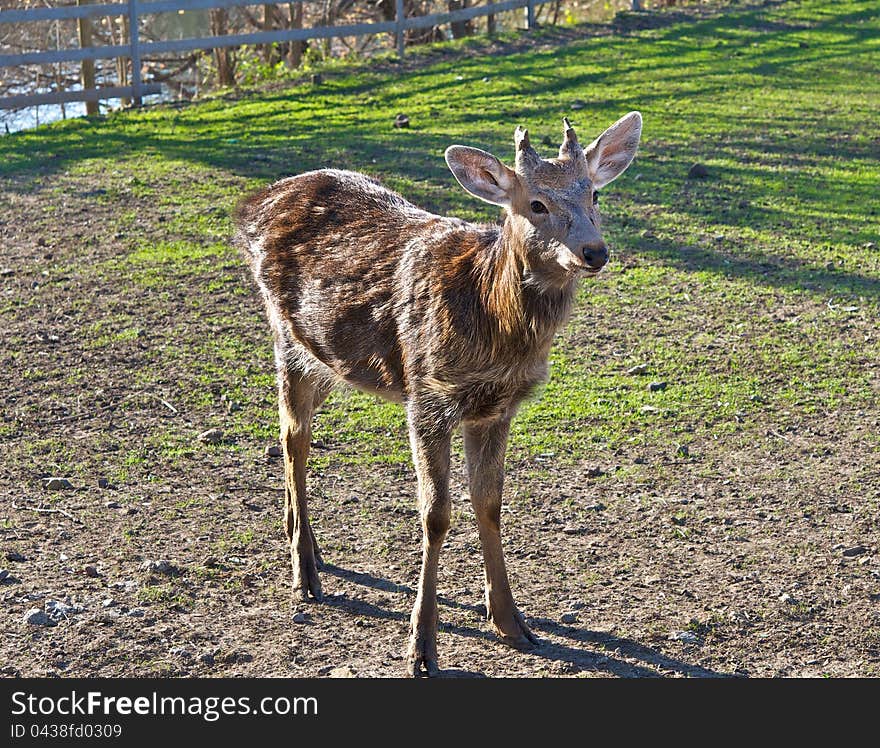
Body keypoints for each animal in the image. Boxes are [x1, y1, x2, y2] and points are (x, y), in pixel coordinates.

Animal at [237, 111, 644, 676]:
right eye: (535, 204)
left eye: (596, 194)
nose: (595, 251)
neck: (493, 321)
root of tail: (254, 203)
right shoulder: (426, 393)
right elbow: (435, 514)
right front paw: (422, 646)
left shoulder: (497, 408)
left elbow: (490, 503)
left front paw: (513, 623)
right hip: (287, 337)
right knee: (294, 438)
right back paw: (305, 570)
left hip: (329, 362)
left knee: (291, 433)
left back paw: (305, 544)